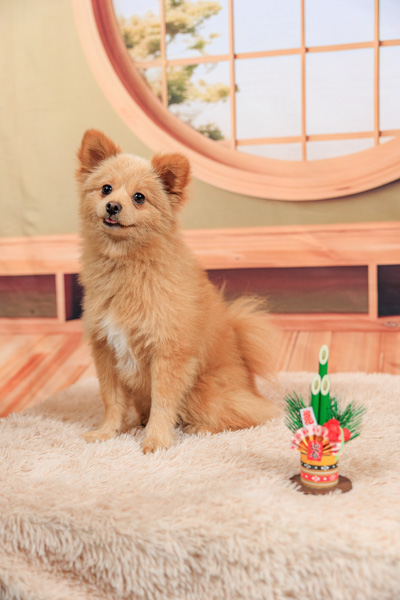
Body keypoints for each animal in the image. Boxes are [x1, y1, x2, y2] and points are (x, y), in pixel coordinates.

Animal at [76, 129, 279, 453]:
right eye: (106, 189)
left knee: (245, 415)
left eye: (139, 198)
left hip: (201, 391)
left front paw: (156, 441)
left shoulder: (169, 353)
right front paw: (107, 433)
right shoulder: (106, 350)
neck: (128, 267)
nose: (112, 206)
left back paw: (199, 428)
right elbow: (112, 400)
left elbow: (163, 402)